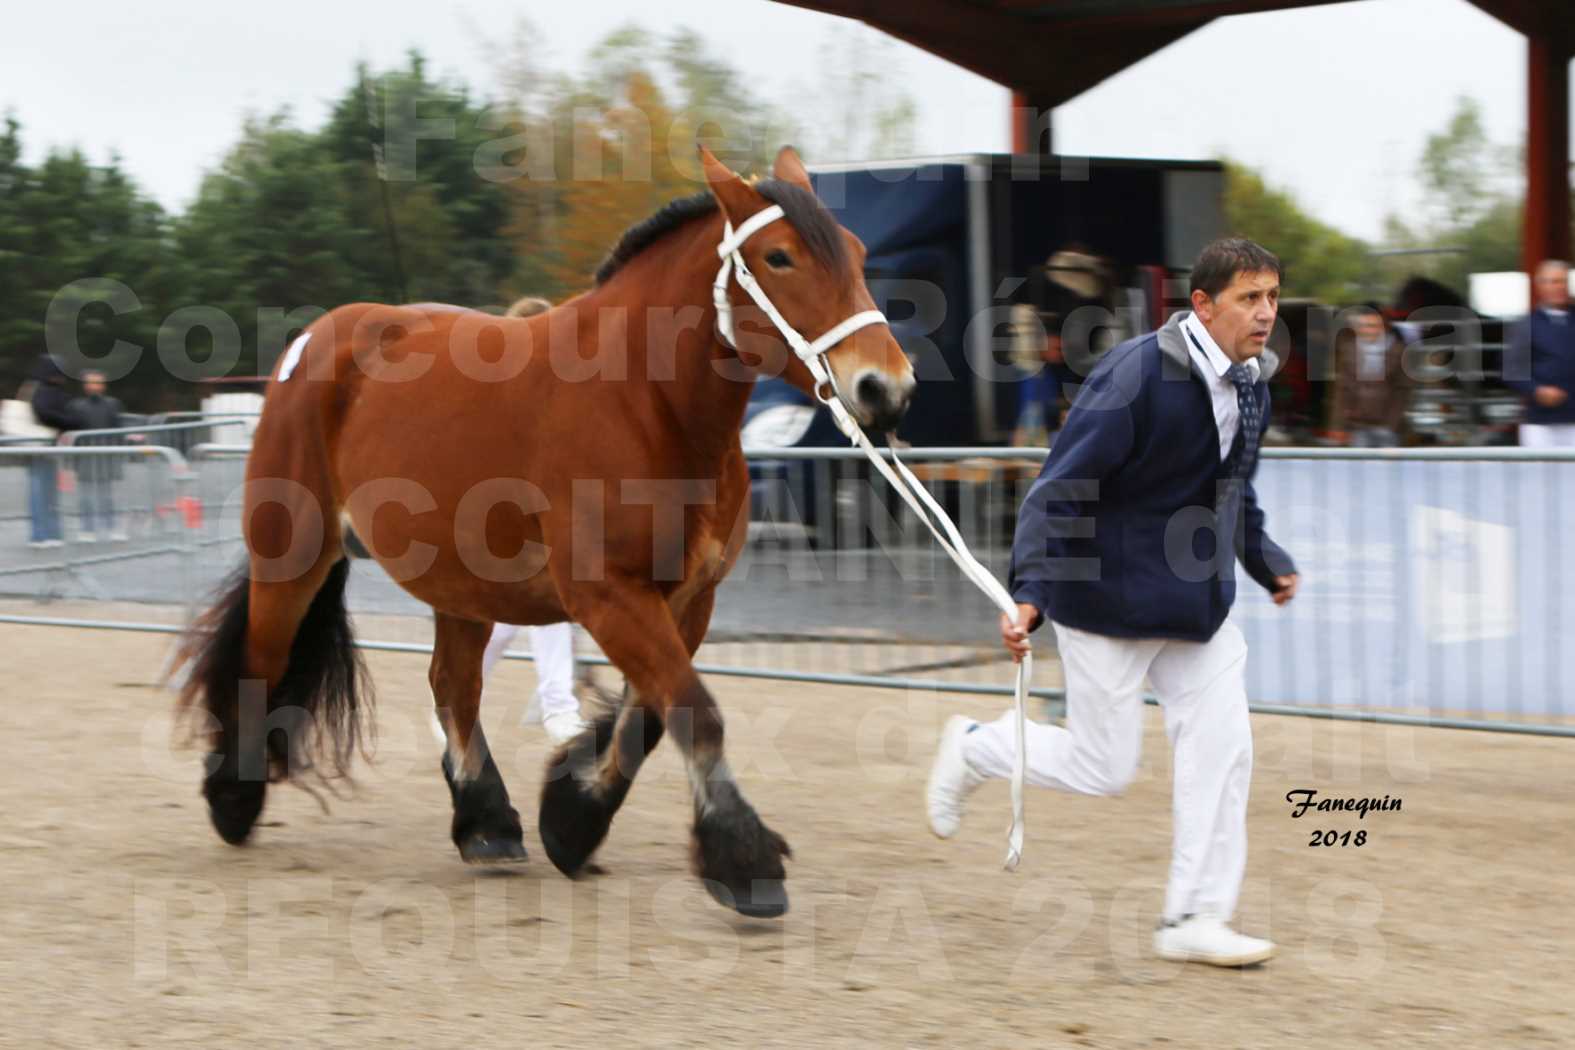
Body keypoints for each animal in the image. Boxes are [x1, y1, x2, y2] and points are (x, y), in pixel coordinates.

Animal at [170, 147, 913, 919]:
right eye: (779, 257)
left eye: (857, 252)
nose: (884, 389)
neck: (644, 401)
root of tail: (317, 340)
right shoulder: (608, 595)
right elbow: (695, 711)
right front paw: (744, 861)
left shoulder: (689, 598)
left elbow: (650, 719)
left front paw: (572, 822)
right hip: (292, 555)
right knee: (261, 660)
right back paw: (233, 796)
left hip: (458, 585)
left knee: (453, 686)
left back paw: (485, 823)